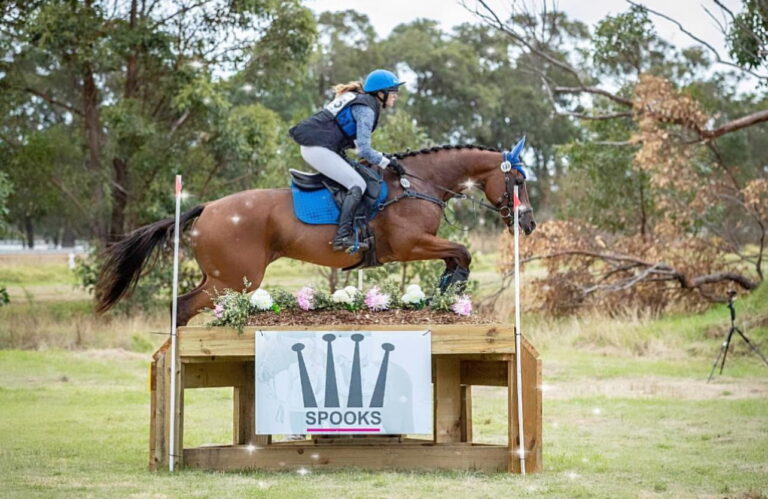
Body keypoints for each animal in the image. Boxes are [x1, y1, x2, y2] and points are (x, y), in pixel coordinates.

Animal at [95, 141, 536, 326]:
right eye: (517, 181)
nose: (528, 223)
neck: (417, 183)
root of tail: (207, 207)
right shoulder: (409, 245)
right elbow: (461, 252)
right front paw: (452, 285)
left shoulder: (418, 246)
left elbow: (456, 255)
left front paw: (447, 288)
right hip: (234, 280)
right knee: (183, 307)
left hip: (219, 277)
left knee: (183, 305)